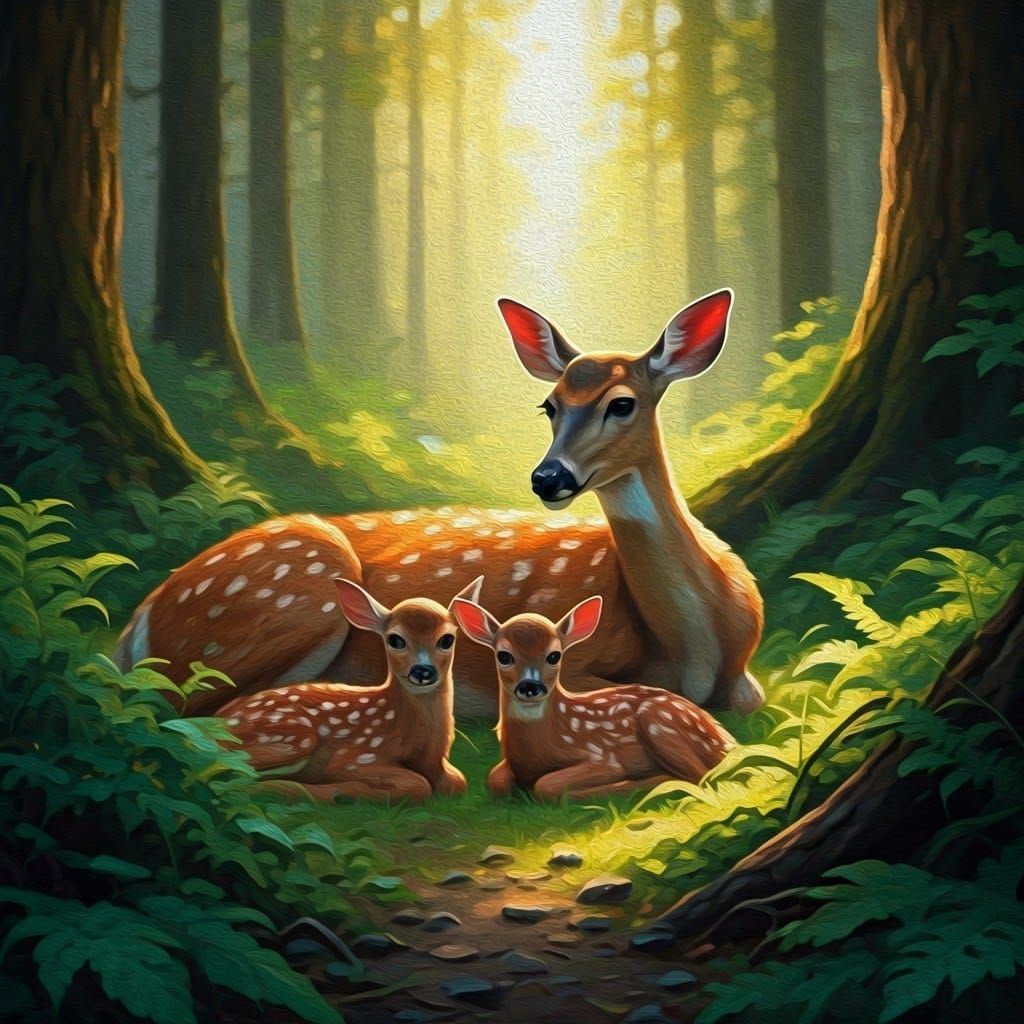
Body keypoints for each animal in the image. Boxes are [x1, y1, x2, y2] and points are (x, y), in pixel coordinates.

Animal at [114, 290, 763, 719]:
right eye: (549, 405)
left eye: (622, 403)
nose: (547, 477)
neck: (697, 641)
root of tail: (139, 622)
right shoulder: (574, 661)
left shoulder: (745, 676)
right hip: (286, 596)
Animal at [213, 576, 482, 802]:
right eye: (395, 639)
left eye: (447, 639)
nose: (423, 671)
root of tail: (216, 717)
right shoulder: (353, 758)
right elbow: (417, 785)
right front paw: (339, 791)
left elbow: (457, 782)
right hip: (294, 737)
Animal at [451, 593, 735, 800]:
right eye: (504, 656)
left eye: (554, 655)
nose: (530, 686)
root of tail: (726, 740)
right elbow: (494, 780)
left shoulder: (603, 757)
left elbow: (547, 786)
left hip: (659, 723)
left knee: (700, 776)